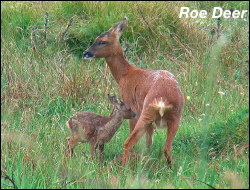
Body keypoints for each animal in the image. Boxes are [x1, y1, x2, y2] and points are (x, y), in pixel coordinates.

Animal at [83, 17, 185, 166]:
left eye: (103, 41)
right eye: (96, 38)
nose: (86, 53)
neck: (125, 75)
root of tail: (162, 100)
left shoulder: (131, 106)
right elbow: (149, 143)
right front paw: (145, 158)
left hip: (146, 112)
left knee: (128, 142)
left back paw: (124, 167)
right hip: (175, 116)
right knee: (167, 147)